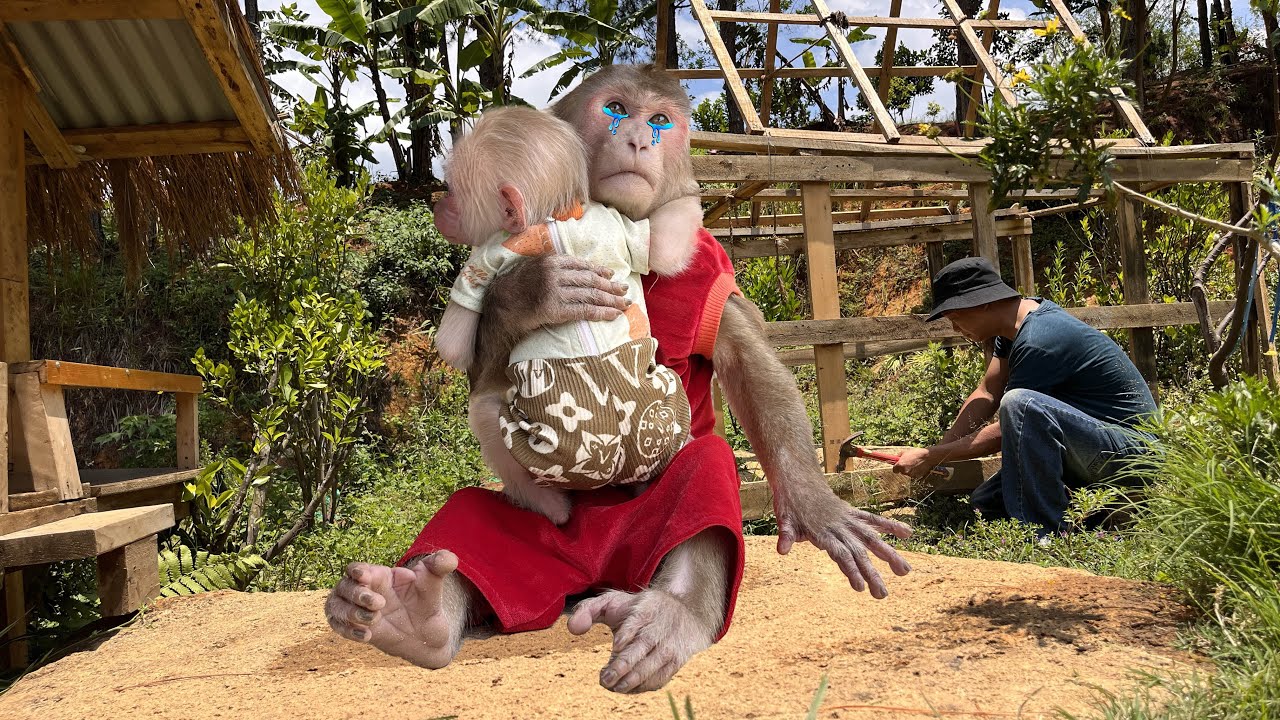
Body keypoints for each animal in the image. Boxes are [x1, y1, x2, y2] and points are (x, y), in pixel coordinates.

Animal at [429, 106, 705, 525]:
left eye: (454, 191)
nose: (437, 205)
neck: (554, 216)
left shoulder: (483, 254)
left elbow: (453, 345)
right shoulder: (614, 221)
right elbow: (662, 244)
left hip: (554, 445)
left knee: (484, 411)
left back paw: (549, 507)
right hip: (663, 403)